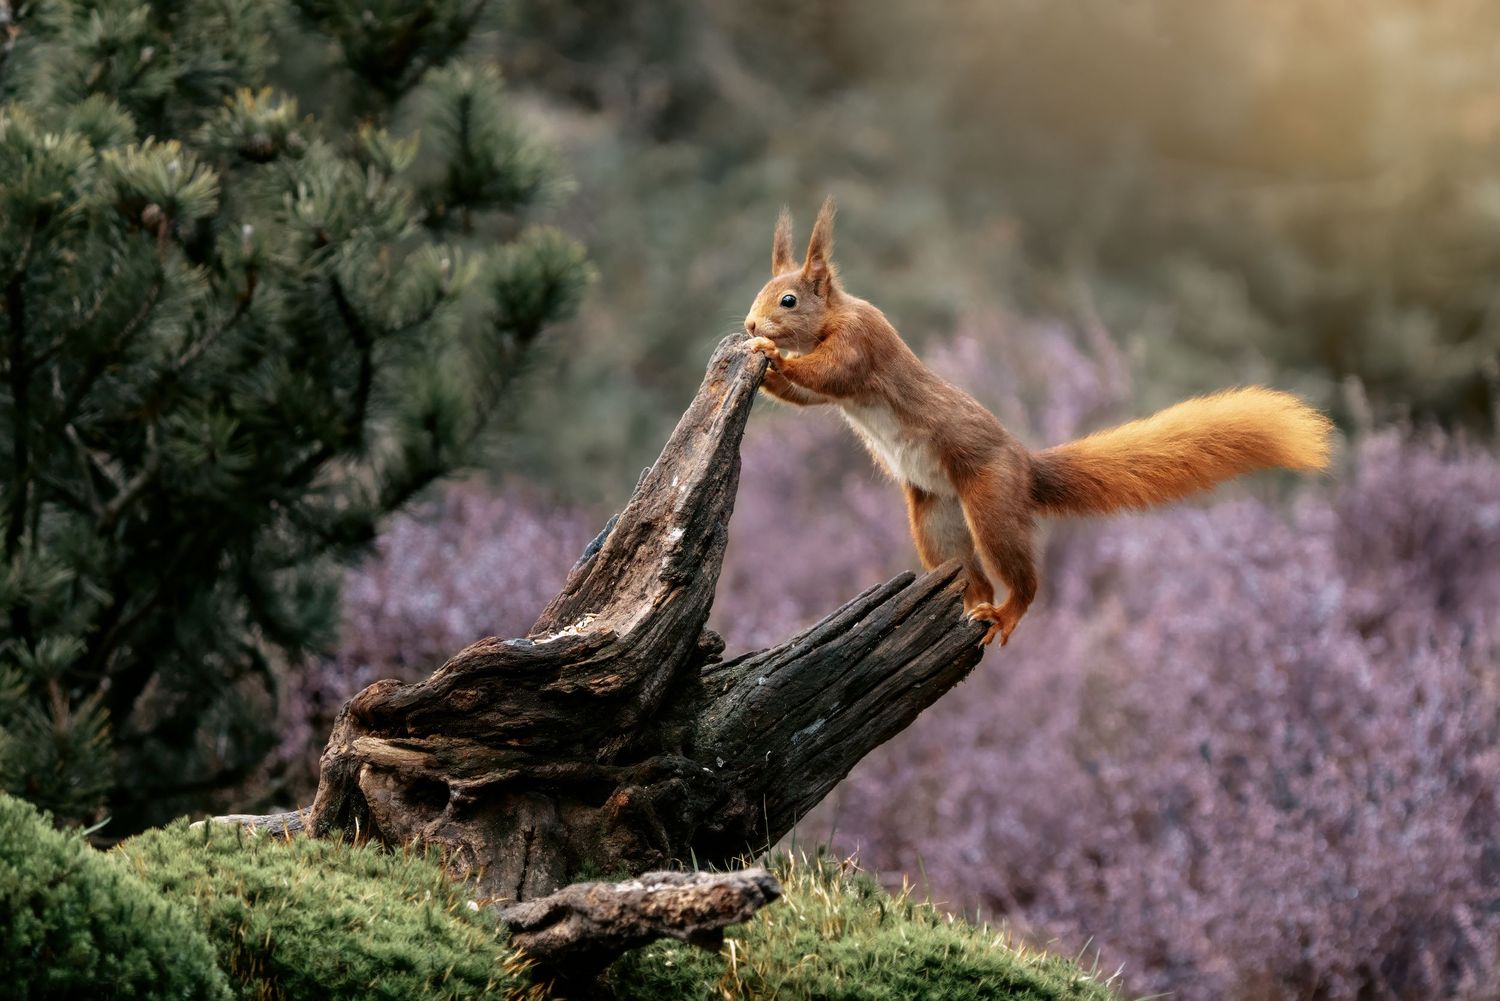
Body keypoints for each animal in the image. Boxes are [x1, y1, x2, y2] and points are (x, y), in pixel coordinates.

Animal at [743, 198, 1334, 647]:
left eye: (788, 299)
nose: (749, 323)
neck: (835, 316)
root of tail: (1026, 467)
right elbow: (806, 395)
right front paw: (764, 359)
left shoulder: (862, 343)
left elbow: (830, 373)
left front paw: (770, 352)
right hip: (937, 519)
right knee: (967, 573)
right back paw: (974, 609)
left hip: (992, 502)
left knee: (1022, 578)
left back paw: (1005, 613)